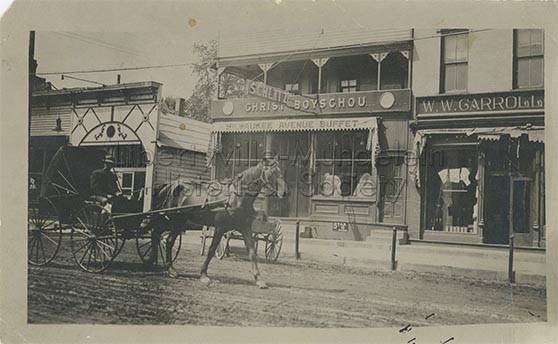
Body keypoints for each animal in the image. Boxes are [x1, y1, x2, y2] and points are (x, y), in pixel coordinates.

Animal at [144, 160, 288, 288]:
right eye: (271, 172)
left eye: (280, 171)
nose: (285, 192)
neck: (236, 197)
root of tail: (171, 185)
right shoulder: (220, 228)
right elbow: (211, 250)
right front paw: (203, 275)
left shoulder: (245, 228)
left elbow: (252, 252)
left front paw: (259, 279)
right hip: (176, 221)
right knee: (167, 240)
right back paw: (170, 269)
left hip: (173, 221)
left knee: (157, 233)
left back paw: (152, 262)